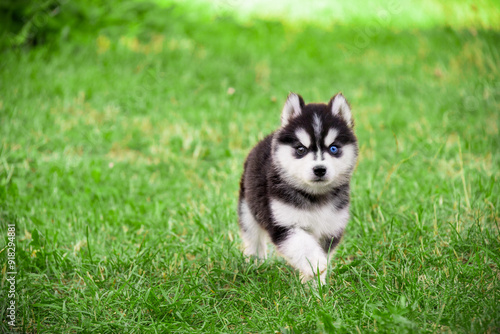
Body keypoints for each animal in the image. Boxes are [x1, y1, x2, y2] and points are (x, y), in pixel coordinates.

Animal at [237, 92, 358, 284]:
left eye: (333, 148)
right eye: (301, 149)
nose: (319, 169)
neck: (315, 196)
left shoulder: (331, 227)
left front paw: (315, 286)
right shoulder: (284, 224)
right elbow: (304, 245)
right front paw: (315, 262)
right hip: (248, 209)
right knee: (253, 237)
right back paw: (255, 264)